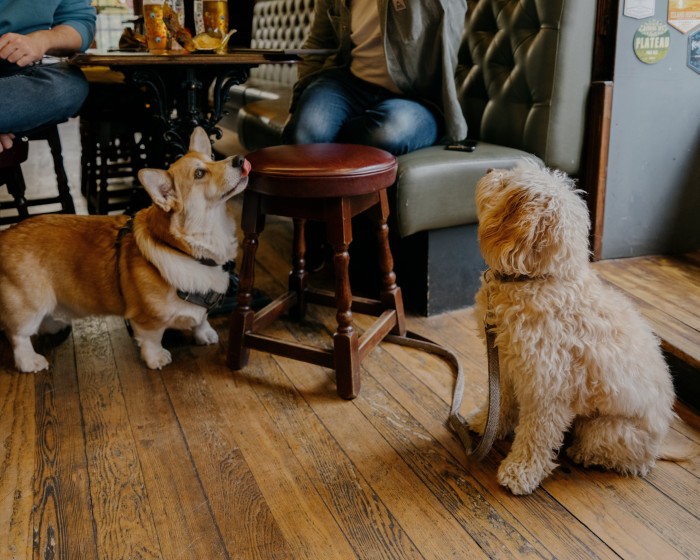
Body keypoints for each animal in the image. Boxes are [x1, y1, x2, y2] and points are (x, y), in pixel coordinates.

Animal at [468, 158, 676, 494]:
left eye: (507, 184)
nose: (488, 170)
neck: (539, 279)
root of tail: (659, 447)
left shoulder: (546, 389)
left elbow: (536, 435)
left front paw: (520, 472)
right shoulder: (508, 368)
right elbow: (501, 405)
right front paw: (485, 423)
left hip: (606, 429)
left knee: (624, 459)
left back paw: (580, 452)